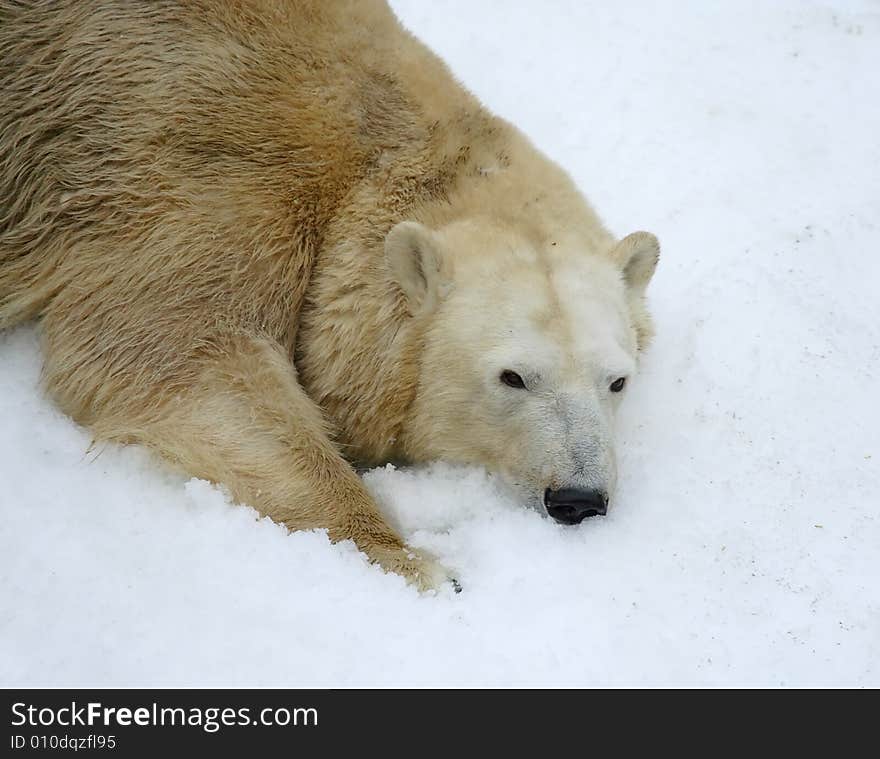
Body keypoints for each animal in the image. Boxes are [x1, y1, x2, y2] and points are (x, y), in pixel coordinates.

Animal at [0, 0, 656, 592]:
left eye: (617, 381)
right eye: (512, 377)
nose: (578, 499)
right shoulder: (208, 183)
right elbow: (172, 351)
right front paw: (416, 562)